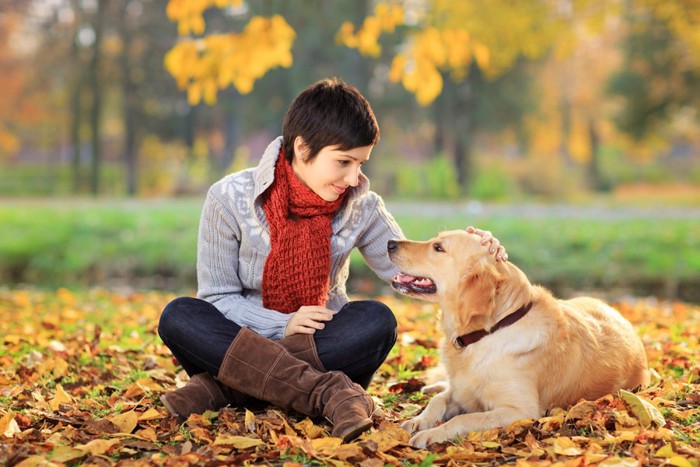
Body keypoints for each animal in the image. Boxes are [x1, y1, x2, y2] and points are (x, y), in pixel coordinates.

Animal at [386, 231, 648, 450]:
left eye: (438, 247)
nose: (390, 243)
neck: (490, 330)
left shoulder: (521, 411)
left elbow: (465, 417)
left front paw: (431, 434)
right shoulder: (462, 391)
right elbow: (440, 399)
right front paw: (420, 420)